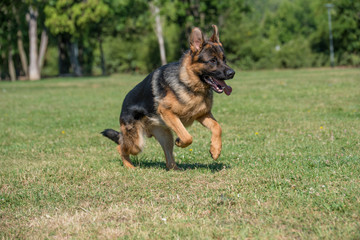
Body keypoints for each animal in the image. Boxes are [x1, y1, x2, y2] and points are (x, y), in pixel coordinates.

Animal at [102, 25, 235, 170]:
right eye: (212, 61)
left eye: (224, 59)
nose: (232, 73)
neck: (188, 83)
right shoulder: (168, 113)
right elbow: (187, 137)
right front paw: (181, 141)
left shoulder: (202, 115)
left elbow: (217, 127)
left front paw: (215, 150)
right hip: (136, 143)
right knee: (120, 147)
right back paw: (129, 166)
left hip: (165, 136)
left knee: (168, 156)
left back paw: (175, 169)